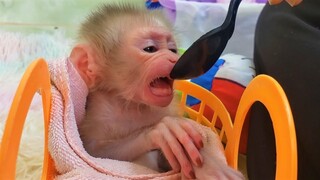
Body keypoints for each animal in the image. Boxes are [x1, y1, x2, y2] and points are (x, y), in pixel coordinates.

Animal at [70, 2, 244, 179]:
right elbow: (93, 154)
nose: (174, 59)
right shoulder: (99, 113)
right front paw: (159, 132)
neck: (131, 104)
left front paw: (209, 165)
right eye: (150, 48)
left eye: (173, 50)